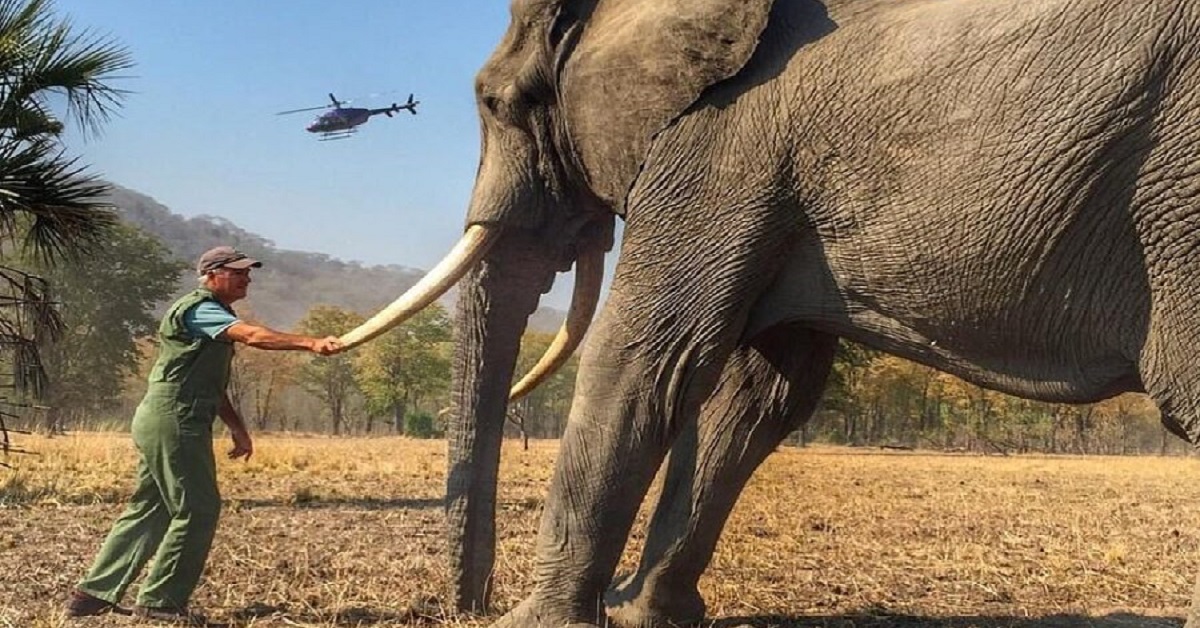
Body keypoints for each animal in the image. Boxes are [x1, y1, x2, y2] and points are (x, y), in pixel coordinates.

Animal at [336, 0, 1200, 624]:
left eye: (495, 101)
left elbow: (644, 356)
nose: (466, 606)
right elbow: (762, 395)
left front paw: (542, 622)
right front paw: (645, 614)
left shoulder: (721, 143)